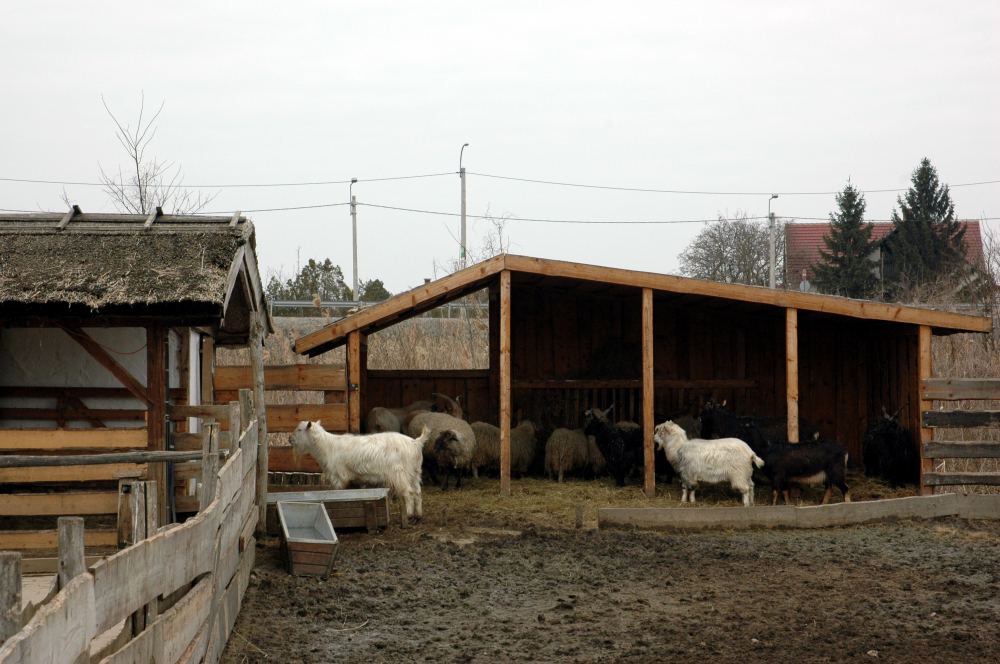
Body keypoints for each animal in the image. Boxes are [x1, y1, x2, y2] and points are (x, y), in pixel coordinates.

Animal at [291, 420, 428, 522]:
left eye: (299, 429)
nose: (289, 438)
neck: (327, 447)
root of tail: (416, 442)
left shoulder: (339, 477)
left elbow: (339, 493)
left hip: (399, 473)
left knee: (409, 492)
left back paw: (409, 514)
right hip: (415, 472)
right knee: (417, 492)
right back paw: (418, 515)